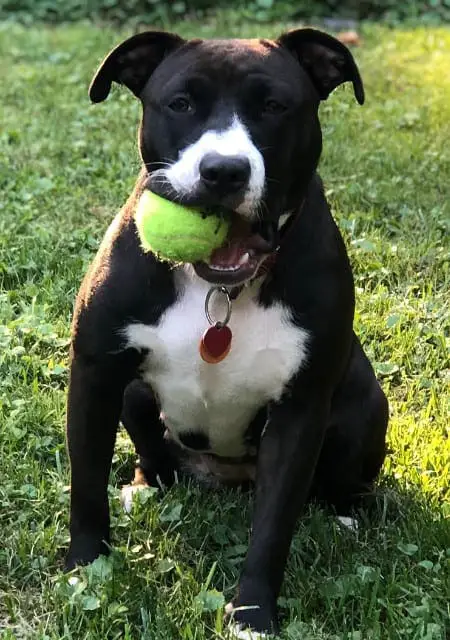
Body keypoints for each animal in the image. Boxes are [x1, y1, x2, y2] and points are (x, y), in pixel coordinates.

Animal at [64, 27, 390, 636]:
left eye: (274, 106)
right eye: (181, 103)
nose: (223, 171)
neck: (218, 289)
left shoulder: (300, 412)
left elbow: (273, 529)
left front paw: (254, 613)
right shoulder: (95, 376)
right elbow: (86, 486)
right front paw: (85, 568)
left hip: (362, 409)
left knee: (345, 484)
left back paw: (345, 519)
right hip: (134, 395)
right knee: (154, 452)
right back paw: (146, 487)